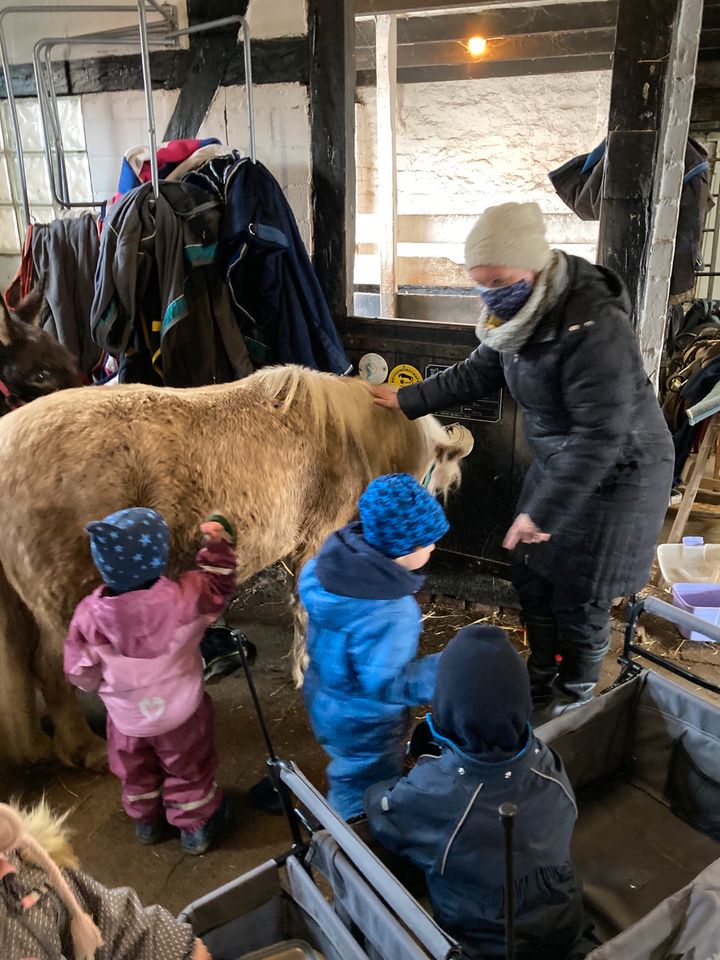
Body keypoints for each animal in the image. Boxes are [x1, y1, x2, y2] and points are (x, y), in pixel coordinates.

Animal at [0, 364, 462, 768]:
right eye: (435, 479)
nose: (431, 542)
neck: (347, 435)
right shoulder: (315, 541)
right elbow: (307, 611)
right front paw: (306, 668)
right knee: (49, 670)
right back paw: (86, 749)